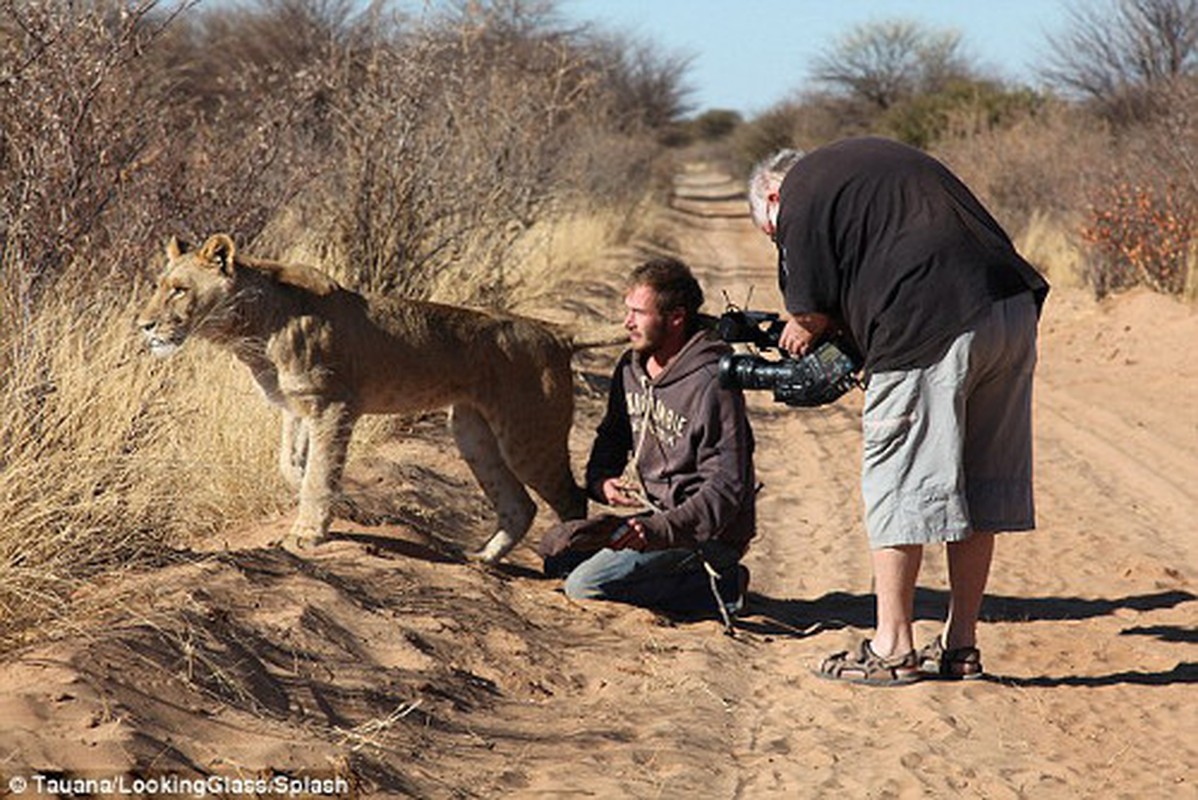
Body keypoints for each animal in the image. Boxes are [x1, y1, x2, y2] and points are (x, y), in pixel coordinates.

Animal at [137, 231, 618, 562]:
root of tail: (553, 330)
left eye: (179, 289)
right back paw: (482, 559)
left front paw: (307, 533)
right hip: (473, 433)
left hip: (527, 435)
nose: (143, 325)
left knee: (572, 499)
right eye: (159, 285)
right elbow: (293, 466)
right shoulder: (297, 408)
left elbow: (318, 474)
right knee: (520, 505)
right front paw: (346, 503)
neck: (252, 331)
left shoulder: (334, 405)